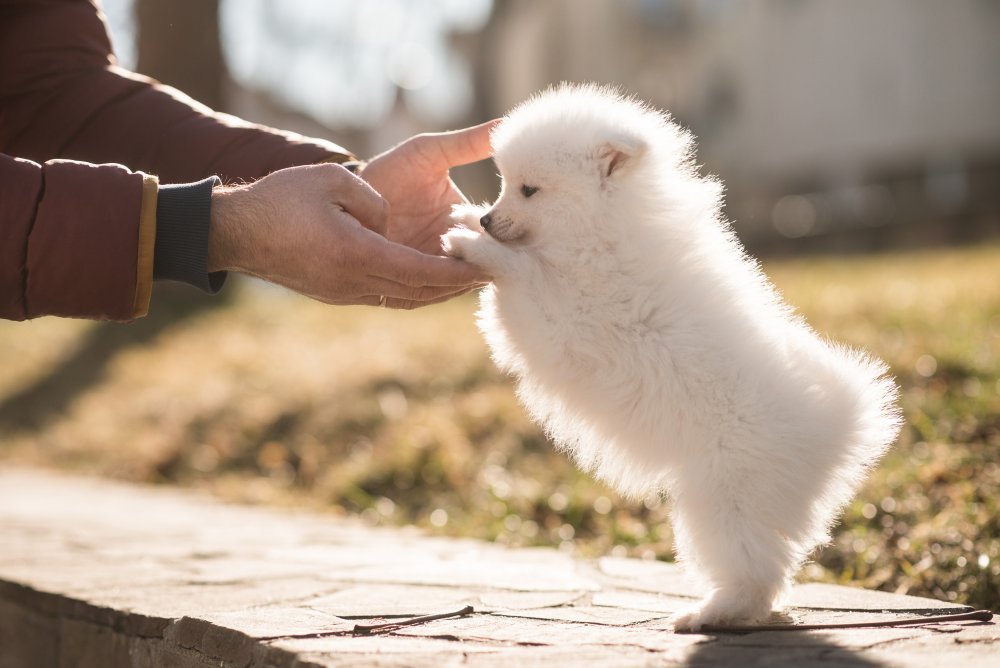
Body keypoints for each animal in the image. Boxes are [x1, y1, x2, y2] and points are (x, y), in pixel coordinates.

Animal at [442, 85, 904, 632]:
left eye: (529, 190)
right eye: (503, 185)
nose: (489, 218)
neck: (598, 232)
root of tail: (836, 424)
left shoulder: (568, 318)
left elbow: (522, 271)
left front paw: (473, 244)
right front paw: (466, 218)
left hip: (724, 497)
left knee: (752, 570)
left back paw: (710, 614)